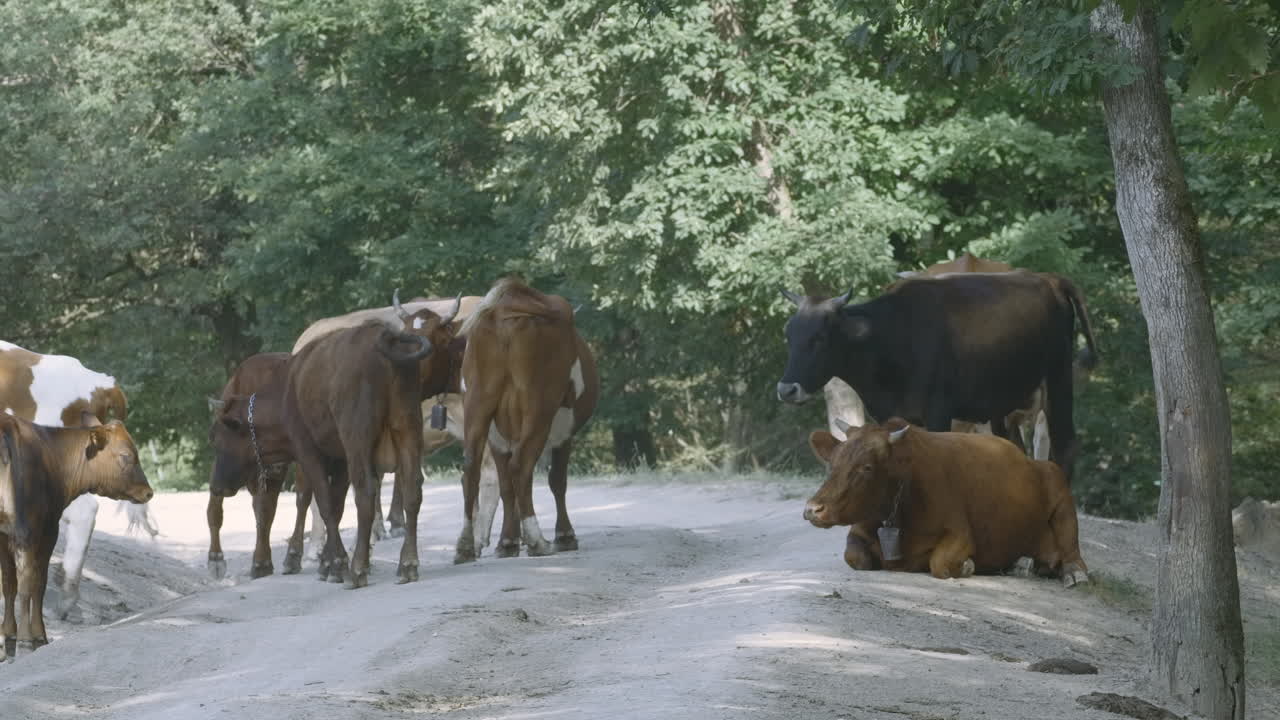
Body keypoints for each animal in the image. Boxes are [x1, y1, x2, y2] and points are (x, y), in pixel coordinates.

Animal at [0, 415, 154, 658]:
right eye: (126, 455)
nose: (148, 492)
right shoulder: (43, 529)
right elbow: (36, 583)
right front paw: (35, 637)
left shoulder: (5, 534)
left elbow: (8, 585)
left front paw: (8, 637)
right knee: (27, 582)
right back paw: (26, 639)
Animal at [210, 312, 451, 588]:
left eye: (216, 439)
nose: (216, 485)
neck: (286, 392)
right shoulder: (340, 458)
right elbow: (335, 505)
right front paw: (328, 563)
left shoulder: (309, 450)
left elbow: (326, 504)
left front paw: (338, 563)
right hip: (408, 426)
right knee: (412, 488)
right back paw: (408, 563)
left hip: (357, 436)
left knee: (365, 492)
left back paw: (358, 568)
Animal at [453, 278, 600, 563]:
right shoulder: (564, 431)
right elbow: (557, 480)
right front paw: (565, 536)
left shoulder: (498, 438)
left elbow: (505, 487)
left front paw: (507, 542)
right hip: (539, 406)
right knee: (521, 466)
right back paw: (537, 541)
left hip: (477, 402)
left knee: (471, 469)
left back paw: (465, 546)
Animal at [777, 270, 1097, 481]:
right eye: (789, 335)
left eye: (819, 338)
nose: (786, 389)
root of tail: (1051, 280)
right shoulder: (889, 415)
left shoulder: (938, 411)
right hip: (1003, 406)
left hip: (1057, 382)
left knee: (1065, 448)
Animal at [804, 417, 1089, 587]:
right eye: (833, 463)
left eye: (866, 467)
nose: (813, 509)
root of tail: (1029, 461)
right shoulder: (859, 529)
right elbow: (854, 556)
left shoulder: (960, 533)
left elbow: (939, 563)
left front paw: (967, 566)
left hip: (1057, 481)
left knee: (1070, 544)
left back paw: (1074, 572)